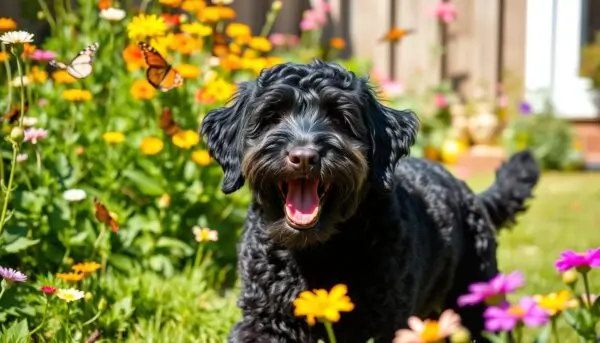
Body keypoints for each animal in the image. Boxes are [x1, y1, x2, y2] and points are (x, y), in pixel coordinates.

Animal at [199, 61, 540, 343]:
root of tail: (469, 193)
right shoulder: (264, 320)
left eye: (339, 118)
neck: (317, 252)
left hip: (478, 300)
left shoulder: (384, 324)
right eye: (272, 116)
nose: (304, 156)